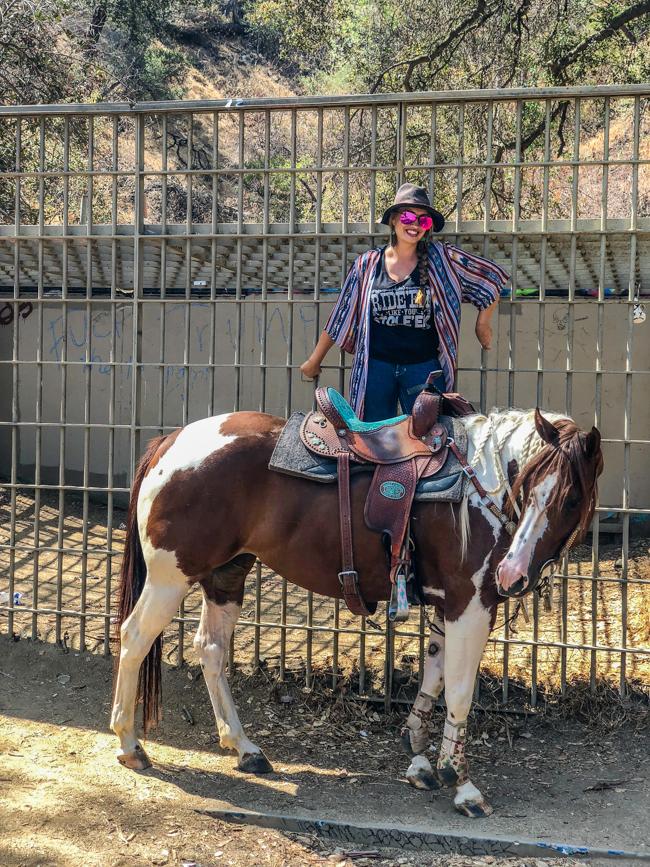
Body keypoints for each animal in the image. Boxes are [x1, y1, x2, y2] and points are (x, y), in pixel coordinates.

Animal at [111, 406, 604, 820]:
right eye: (529, 488)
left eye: (571, 500)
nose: (512, 575)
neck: (476, 488)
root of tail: (170, 441)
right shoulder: (470, 602)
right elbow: (460, 691)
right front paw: (461, 784)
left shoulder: (445, 604)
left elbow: (433, 676)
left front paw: (419, 756)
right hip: (170, 577)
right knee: (134, 638)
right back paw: (130, 743)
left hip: (227, 574)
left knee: (210, 648)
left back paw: (245, 748)